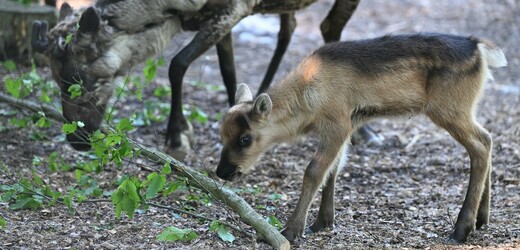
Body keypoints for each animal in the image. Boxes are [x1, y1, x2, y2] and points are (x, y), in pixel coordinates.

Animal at [216, 33, 508, 242]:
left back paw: (461, 230)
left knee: (481, 144)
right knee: (487, 139)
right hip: (466, 108)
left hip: (449, 109)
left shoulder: (338, 122)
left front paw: (292, 230)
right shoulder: (350, 123)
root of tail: (481, 50)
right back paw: (482, 219)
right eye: (221, 133)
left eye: (245, 139)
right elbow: (333, 169)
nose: (222, 172)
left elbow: (314, 171)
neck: (308, 102)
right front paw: (322, 222)